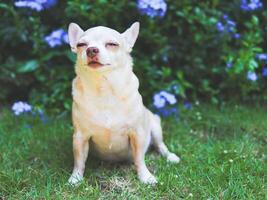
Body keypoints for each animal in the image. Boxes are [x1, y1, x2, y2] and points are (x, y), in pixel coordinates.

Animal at [67, 21, 180, 184]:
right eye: (81, 44)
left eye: (112, 44)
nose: (91, 50)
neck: (104, 90)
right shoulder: (80, 137)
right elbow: (79, 160)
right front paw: (75, 179)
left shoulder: (137, 134)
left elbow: (139, 159)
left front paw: (145, 177)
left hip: (155, 126)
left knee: (160, 145)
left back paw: (170, 156)